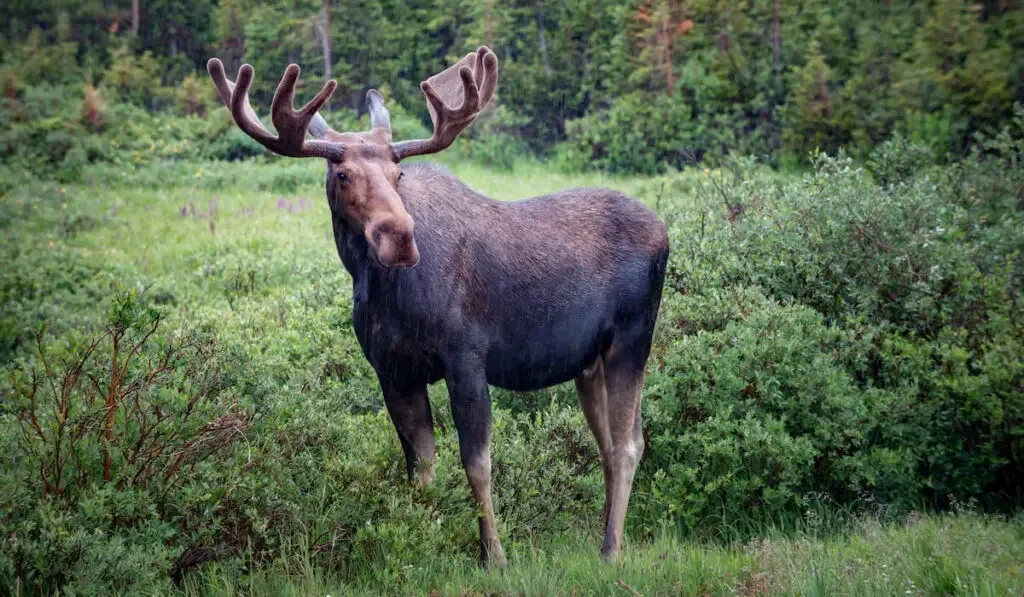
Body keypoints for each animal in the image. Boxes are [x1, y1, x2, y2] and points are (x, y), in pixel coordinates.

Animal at [207, 47, 671, 569]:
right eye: (342, 174)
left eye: (398, 174)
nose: (399, 238)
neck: (387, 293)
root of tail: (665, 233)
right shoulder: (393, 372)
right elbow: (420, 468)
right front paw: (423, 548)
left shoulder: (465, 357)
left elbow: (477, 463)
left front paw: (494, 556)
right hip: (588, 364)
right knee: (611, 444)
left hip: (631, 342)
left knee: (628, 445)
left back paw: (611, 550)